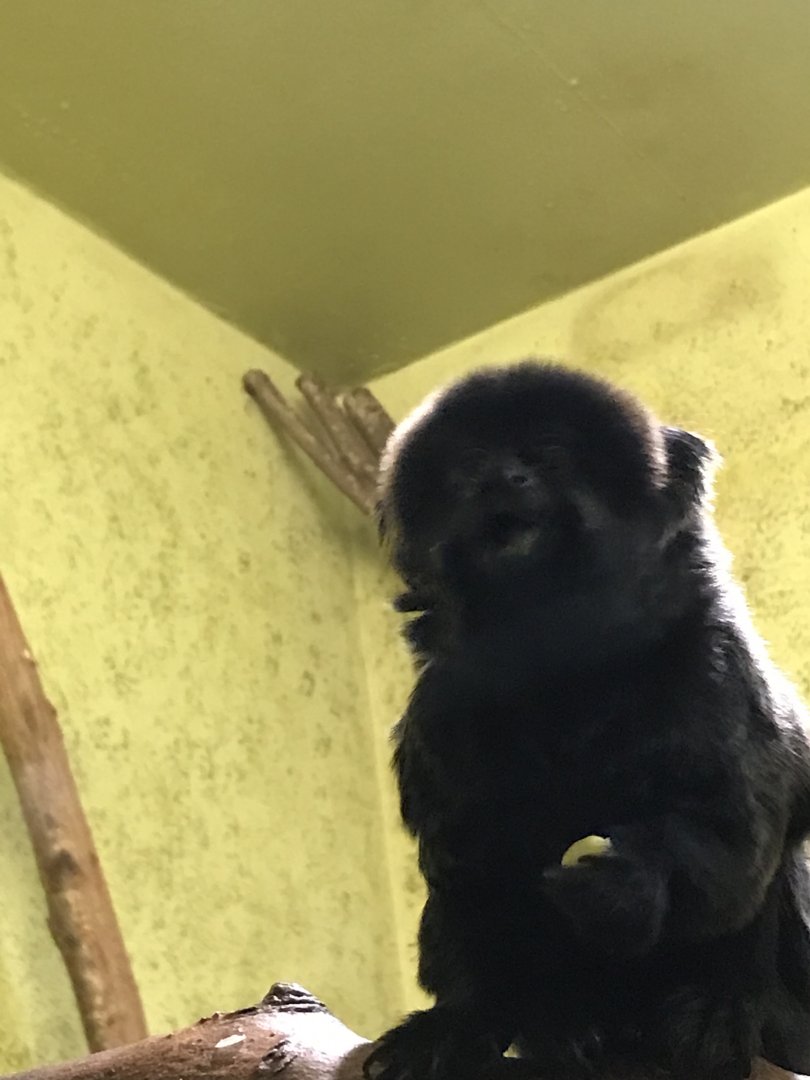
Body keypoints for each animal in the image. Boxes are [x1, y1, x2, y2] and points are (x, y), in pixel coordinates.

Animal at [363, 360, 810, 1080]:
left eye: (547, 454)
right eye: (471, 467)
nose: (504, 479)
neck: (566, 671)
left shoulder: (719, 674)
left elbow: (738, 841)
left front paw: (631, 883)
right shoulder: (440, 717)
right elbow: (467, 869)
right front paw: (465, 1019)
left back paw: (728, 1009)